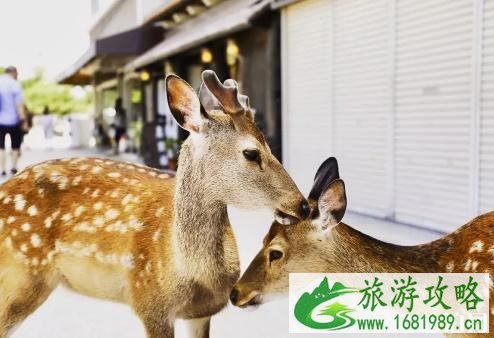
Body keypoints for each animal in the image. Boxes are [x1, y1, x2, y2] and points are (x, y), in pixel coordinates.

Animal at [0, 70, 308, 336]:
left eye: (269, 144)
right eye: (251, 153)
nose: (303, 205)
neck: (192, 273)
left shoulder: (201, 313)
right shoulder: (149, 303)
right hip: (20, 278)